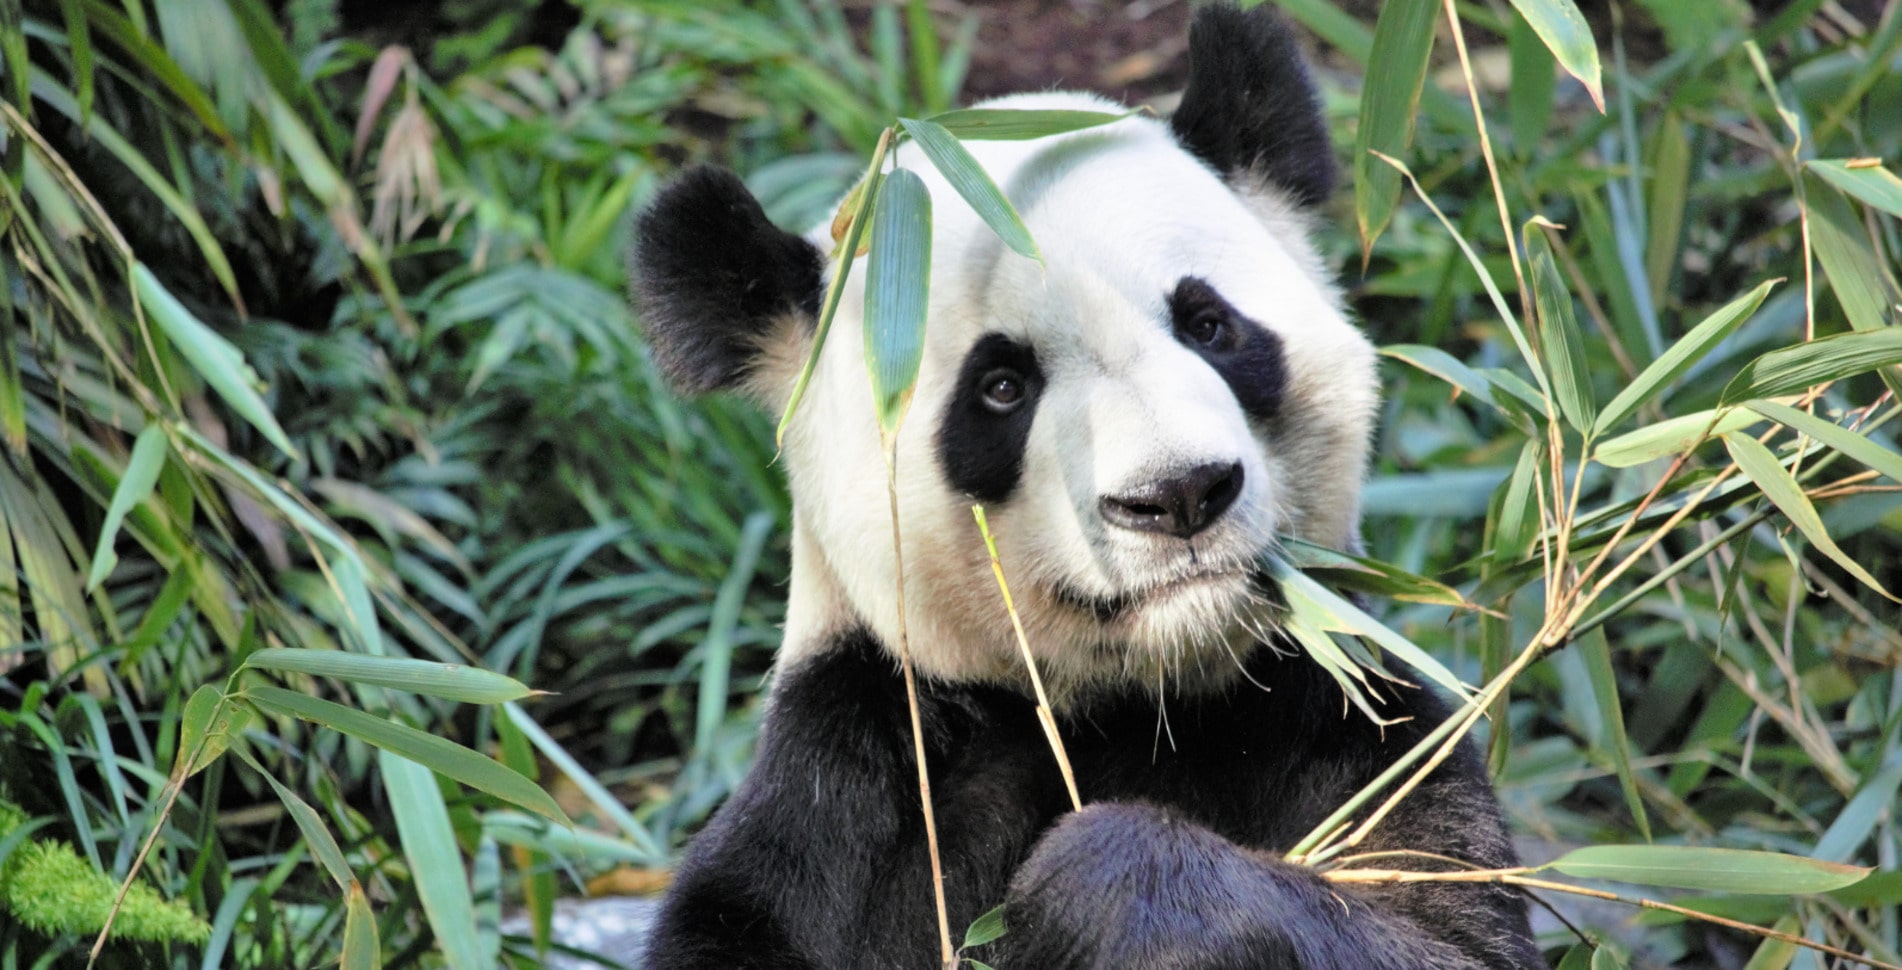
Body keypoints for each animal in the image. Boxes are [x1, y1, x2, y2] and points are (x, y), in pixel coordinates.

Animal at [631, 5, 1543, 968]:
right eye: (1001, 386)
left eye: (1209, 326)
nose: (1178, 494)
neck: (1138, 705)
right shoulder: (858, 774)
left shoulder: (1340, 718)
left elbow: (1441, 926)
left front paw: (1093, 884)